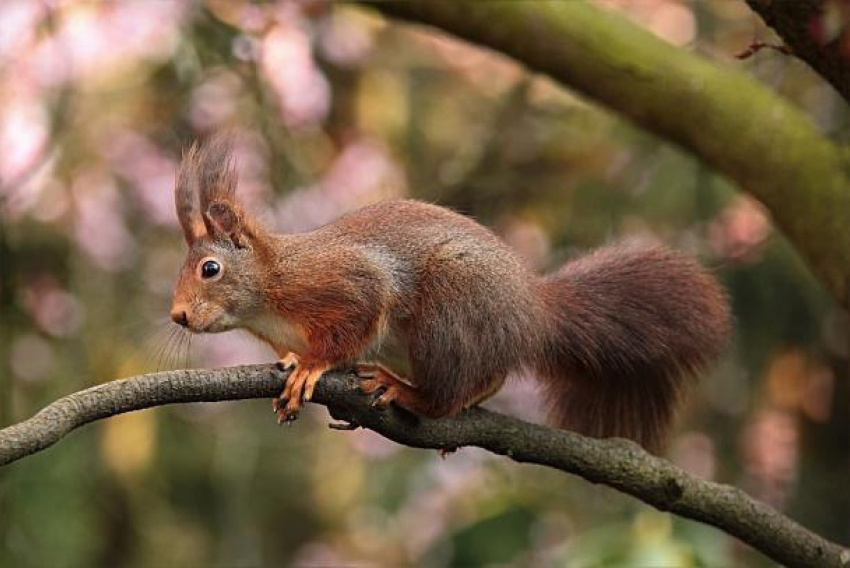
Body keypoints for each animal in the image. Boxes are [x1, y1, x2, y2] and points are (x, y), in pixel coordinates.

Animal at [171, 135, 728, 450]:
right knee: (490, 377)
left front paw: (312, 365)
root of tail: (532, 311)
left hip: (451, 306)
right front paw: (293, 364)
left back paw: (407, 391)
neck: (269, 289)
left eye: (210, 269)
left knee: (446, 393)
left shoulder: (344, 281)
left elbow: (357, 320)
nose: (177, 316)